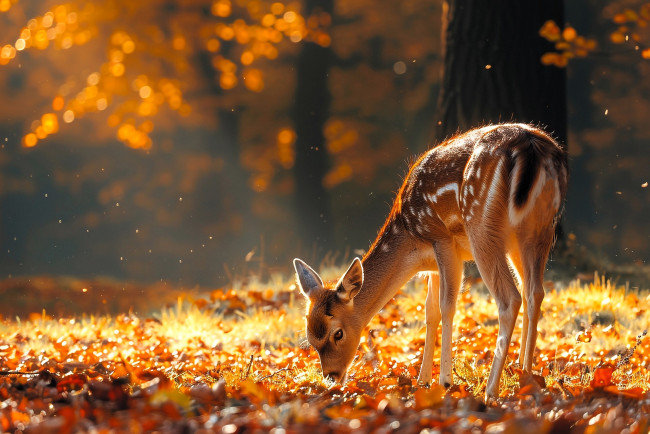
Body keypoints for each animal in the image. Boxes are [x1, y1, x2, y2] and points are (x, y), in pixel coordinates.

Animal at [292, 122, 564, 400]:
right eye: (310, 340)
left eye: (338, 333)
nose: (331, 376)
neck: (412, 245)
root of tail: (530, 147)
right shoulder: (433, 263)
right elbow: (430, 311)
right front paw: (423, 379)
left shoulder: (442, 240)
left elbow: (447, 305)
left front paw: (444, 381)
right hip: (538, 228)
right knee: (534, 292)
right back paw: (525, 373)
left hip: (482, 227)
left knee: (510, 299)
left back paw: (491, 389)